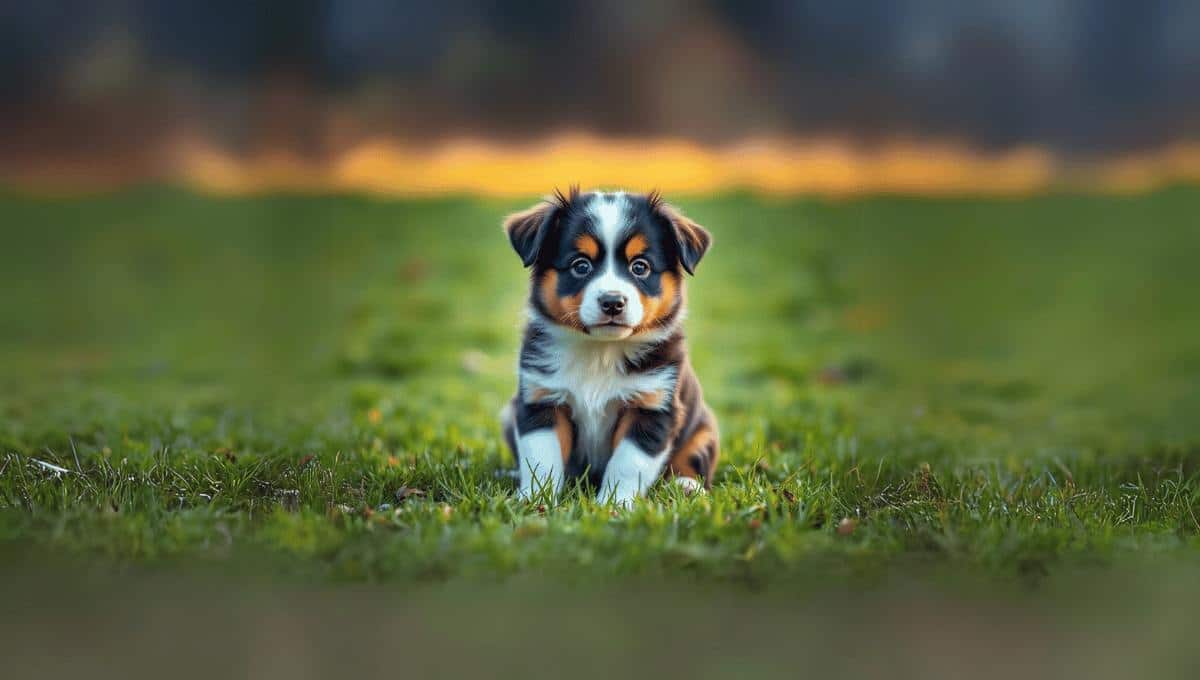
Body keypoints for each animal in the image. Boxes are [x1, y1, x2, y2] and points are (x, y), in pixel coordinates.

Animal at [499, 185, 715, 506]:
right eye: (581, 266)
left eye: (640, 267)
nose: (613, 302)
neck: (599, 352)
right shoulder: (541, 399)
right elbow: (541, 458)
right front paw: (535, 499)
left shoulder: (652, 407)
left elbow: (627, 463)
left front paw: (615, 504)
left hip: (704, 429)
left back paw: (687, 485)